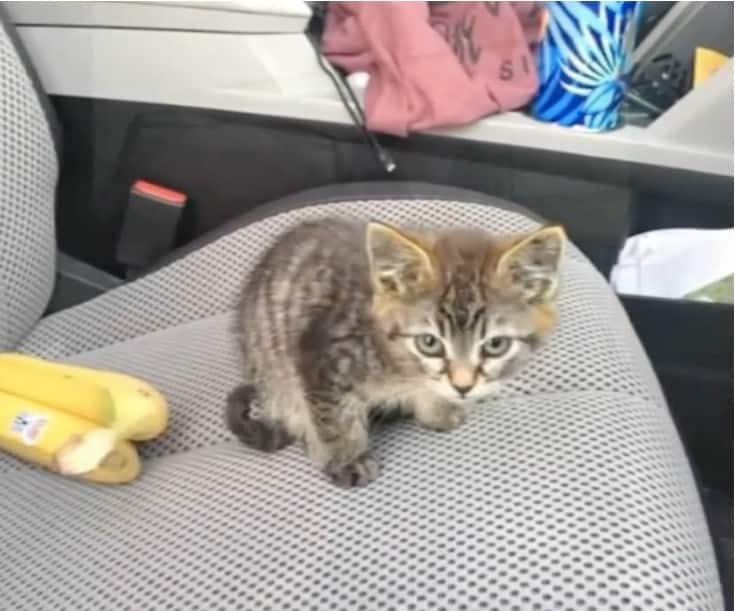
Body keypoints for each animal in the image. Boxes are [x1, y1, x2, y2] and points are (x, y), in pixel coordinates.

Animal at [227, 218, 568, 490]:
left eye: (495, 345)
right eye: (429, 342)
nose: (463, 386)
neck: (399, 364)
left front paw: (438, 410)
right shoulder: (321, 353)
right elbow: (332, 416)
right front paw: (346, 458)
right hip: (273, 369)